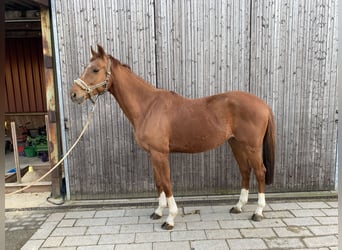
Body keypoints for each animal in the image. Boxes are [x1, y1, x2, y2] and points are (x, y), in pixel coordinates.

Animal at [69, 45, 276, 230]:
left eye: (95, 69)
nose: (74, 94)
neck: (148, 106)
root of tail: (263, 104)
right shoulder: (153, 154)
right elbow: (158, 182)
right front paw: (158, 212)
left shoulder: (160, 154)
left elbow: (167, 183)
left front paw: (170, 219)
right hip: (236, 144)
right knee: (245, 171)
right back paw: (238, 206)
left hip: (252, 146)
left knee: (260, 172)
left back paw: (258, 212)